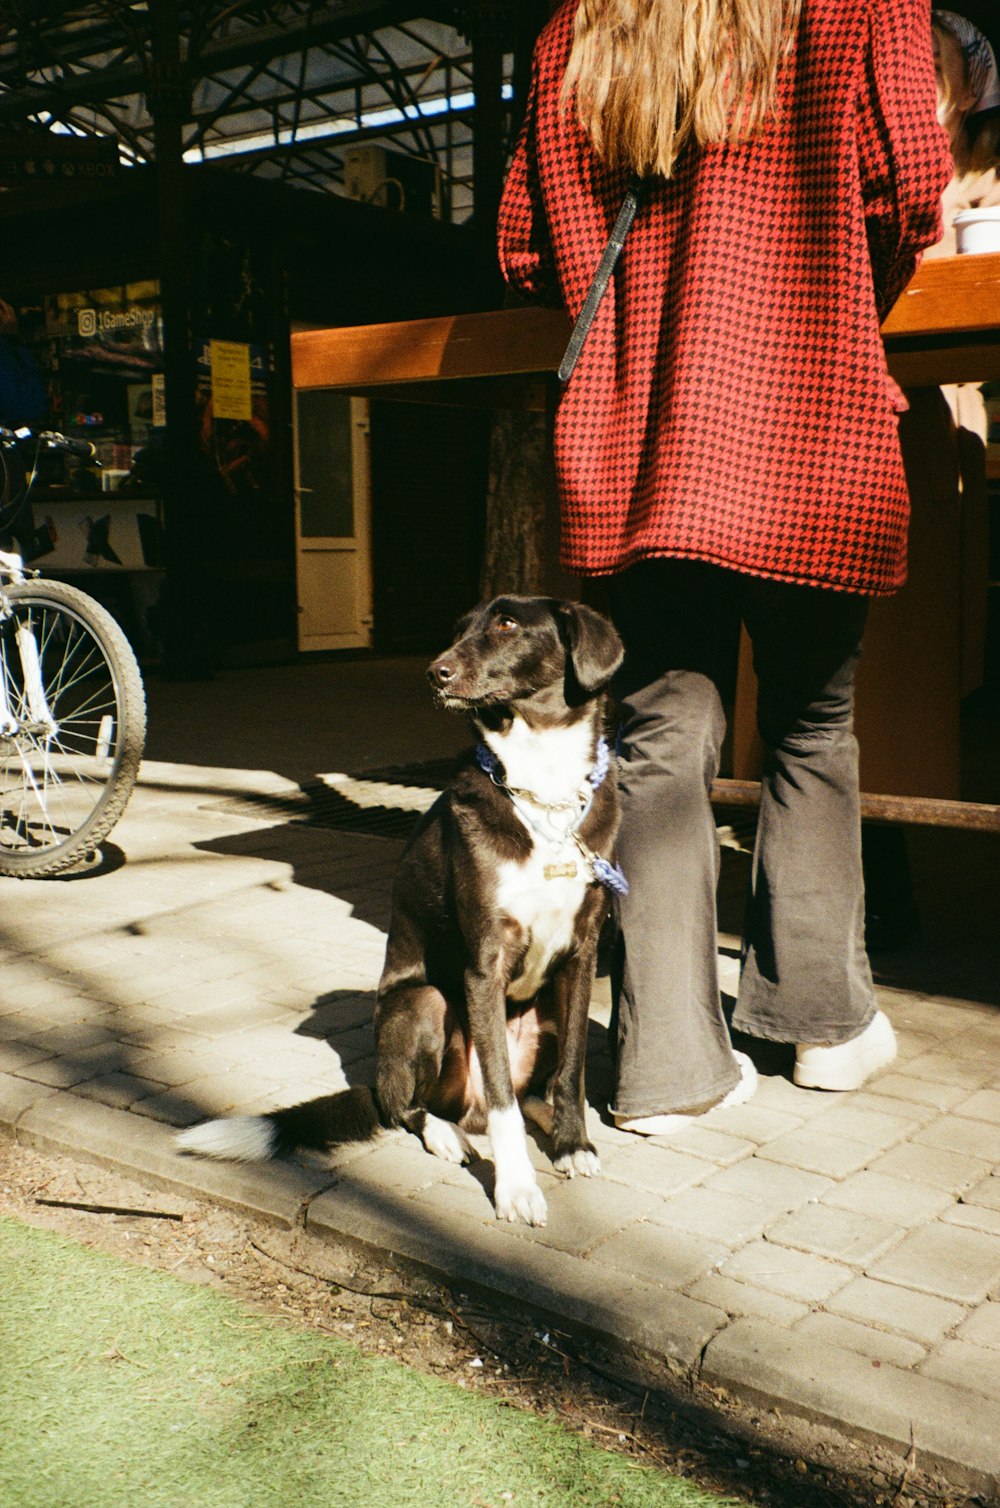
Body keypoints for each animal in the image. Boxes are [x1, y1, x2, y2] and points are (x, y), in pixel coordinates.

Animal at [175, 594, 621, 1230]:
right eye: (458, 629)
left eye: (507, 624)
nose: (435, 673)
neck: (543, 790)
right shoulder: (484, 965)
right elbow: (503, 1102)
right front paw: (516, 1188)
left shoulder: (582, 955)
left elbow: (574, 1072)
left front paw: (572, 1145)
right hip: (425, 1005)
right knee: (408, 1107)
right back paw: (446, 1135)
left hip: (546, 1011)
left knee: (532, 1088)